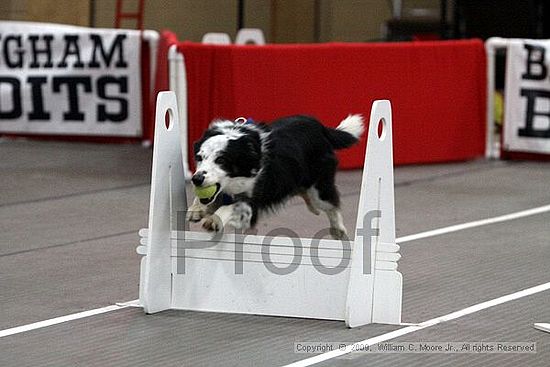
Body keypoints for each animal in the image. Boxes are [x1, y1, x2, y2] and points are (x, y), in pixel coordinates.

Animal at [188, 115, 364, 242]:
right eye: (199, 157)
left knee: (331, 203)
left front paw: (214, 219)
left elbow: (233, 206)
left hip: (319, 187)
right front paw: (197, 209)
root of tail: (321, 127)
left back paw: (338, 230)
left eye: (221, 160)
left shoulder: (254, 202)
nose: (196, 179)